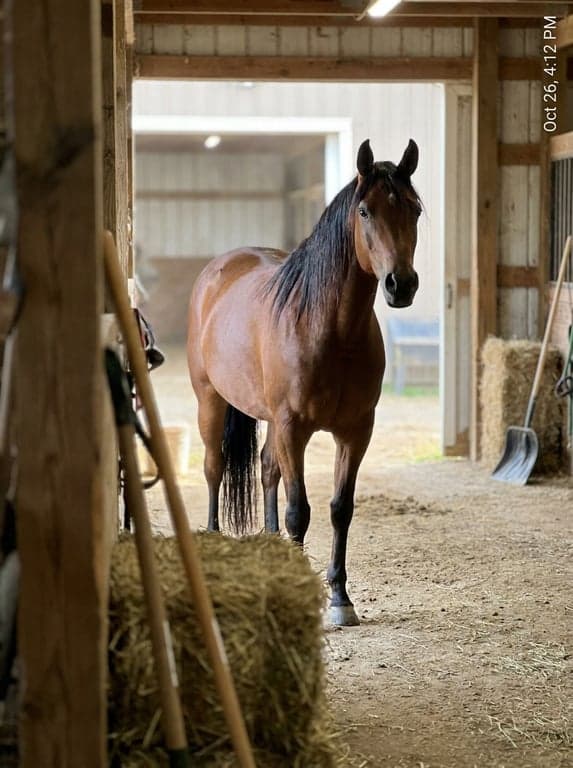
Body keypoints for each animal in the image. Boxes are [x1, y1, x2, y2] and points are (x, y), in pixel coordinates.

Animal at [187, 138, 421, 626]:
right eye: (365, 211)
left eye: (415, 209)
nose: (401, 284)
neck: (330, 330)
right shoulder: (293, 427)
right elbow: (299, 511)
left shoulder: (355, 431)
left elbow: (339, 509)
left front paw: (340, 599)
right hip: (210, 402)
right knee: (215, 467)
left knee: (266, 468)